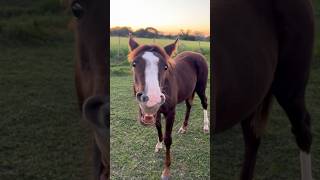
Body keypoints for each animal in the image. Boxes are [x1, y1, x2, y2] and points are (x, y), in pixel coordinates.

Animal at [127, 36, 210, 179]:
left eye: (165, 67)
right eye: (134, 64)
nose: (151, 99)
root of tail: (197, 54)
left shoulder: (170, 113)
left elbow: (168, 139)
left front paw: (166, 170)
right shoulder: (157, 112)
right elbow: (158, 127)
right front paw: (159, 145)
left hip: (201, 87)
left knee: (204, 103)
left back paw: (205, 126)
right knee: (189, 105)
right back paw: (184, 127)